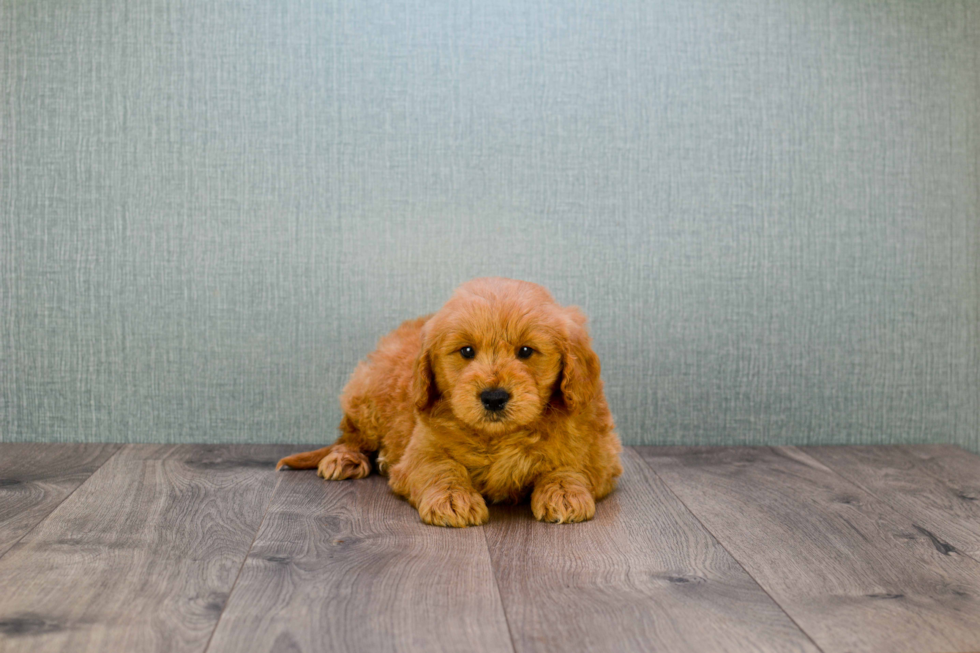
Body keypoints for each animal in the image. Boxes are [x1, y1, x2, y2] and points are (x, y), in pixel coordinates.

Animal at [278, 276, 620, 524]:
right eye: (466, 351)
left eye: (526, 351)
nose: (493, 397)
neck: (498, 437)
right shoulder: (421, 451)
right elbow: (441, 468)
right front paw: (453, 499)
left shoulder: (597, 451)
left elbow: (570, 465)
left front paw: (564, 492)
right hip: (367, 398)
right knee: (350, 435)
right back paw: (344, 458)